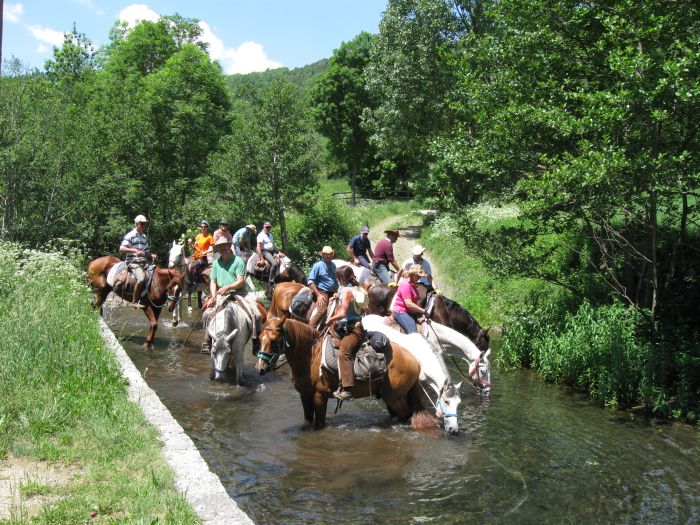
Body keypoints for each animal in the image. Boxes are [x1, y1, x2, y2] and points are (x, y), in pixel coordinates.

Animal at [256, 318, 422, 428]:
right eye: (259, 338)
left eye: (274, 340)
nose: (260, 368)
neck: (310, 356)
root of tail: (416, 361)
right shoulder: (305, 395)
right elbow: (308, 420)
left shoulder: (320, 397)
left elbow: (319, 424)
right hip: (390, 397)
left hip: (394, 398)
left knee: (406, 415)